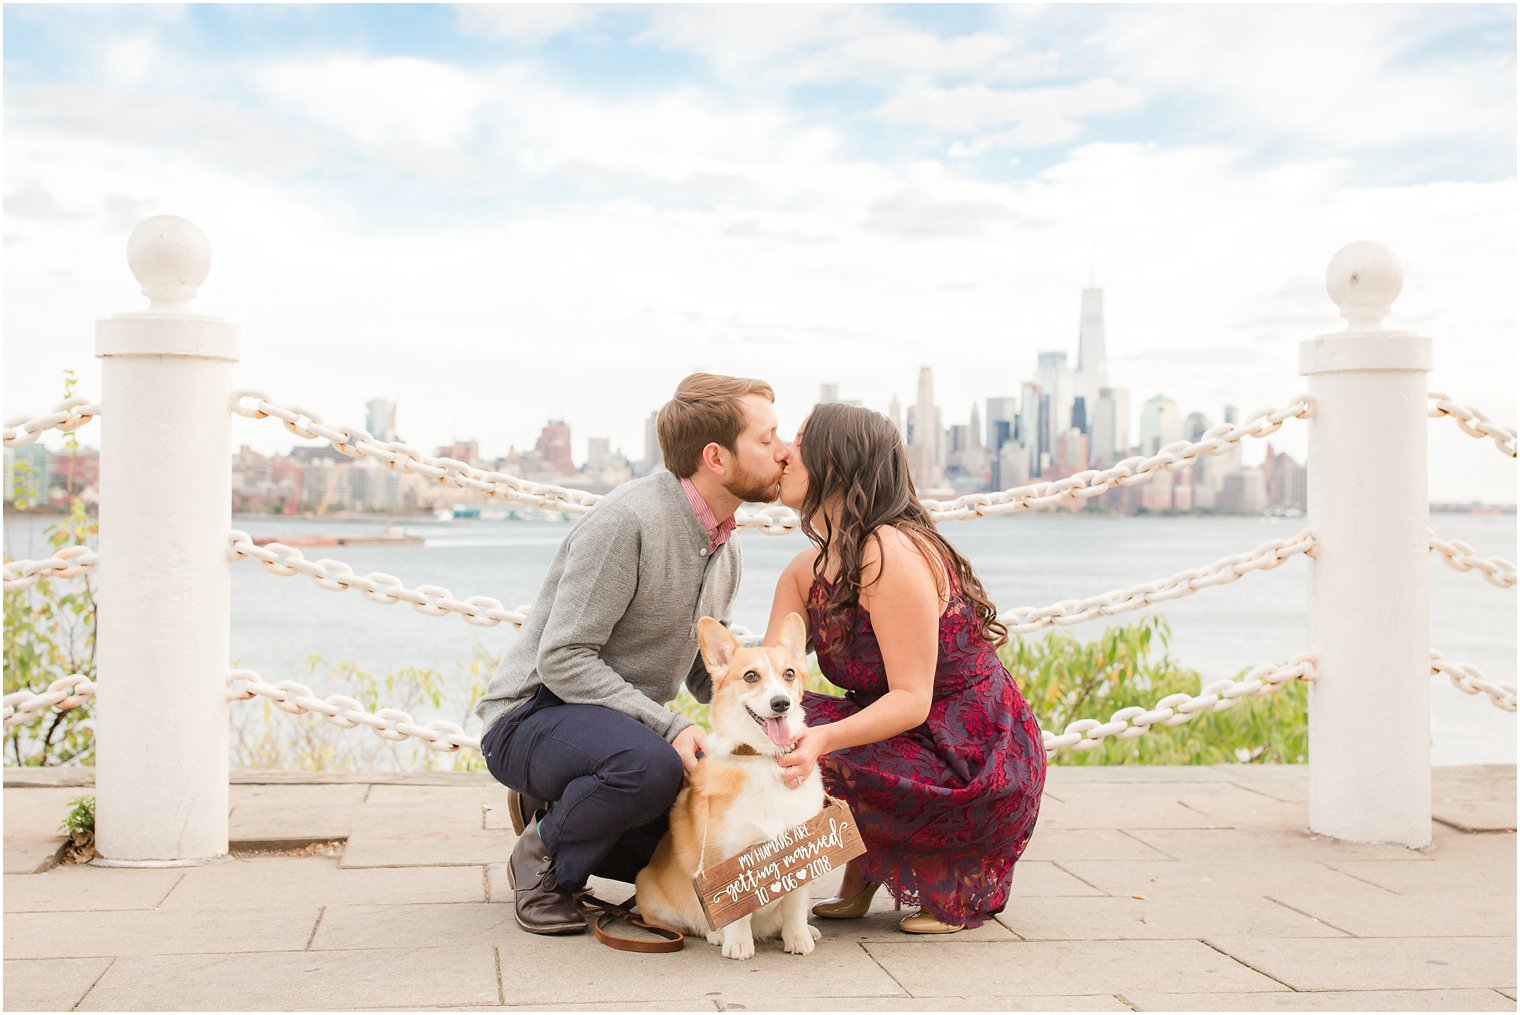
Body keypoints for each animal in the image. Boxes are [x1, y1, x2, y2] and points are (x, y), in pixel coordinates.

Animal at [635, 610, 826, 960]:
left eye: (789, 673)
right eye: (751, 676)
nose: (781, 703)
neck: (765, 758)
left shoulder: (803, 850)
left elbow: (795, 905)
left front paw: (798, 938)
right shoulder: (730, 858)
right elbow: (738, 910)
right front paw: (737, 943)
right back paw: (715, 935)